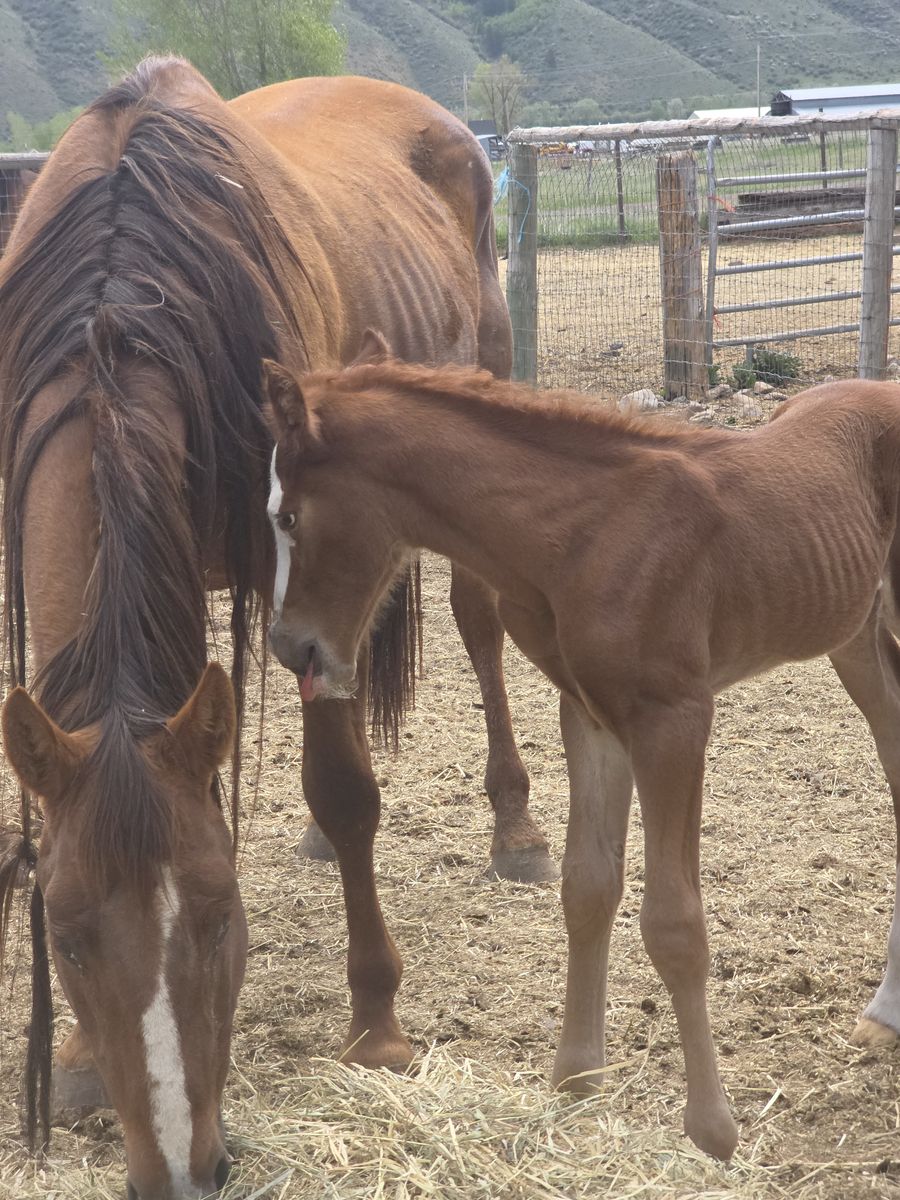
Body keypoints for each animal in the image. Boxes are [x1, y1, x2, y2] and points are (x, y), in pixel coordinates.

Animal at [0, 58, 551, 1198]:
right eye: (64, 936)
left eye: (220, 911)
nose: (179, 1169)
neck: (125, 303)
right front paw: (76, 1061)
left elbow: (346, 792)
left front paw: (377, 1024)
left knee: (478, 624)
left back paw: (516, 828)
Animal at [263, 347, 900, 1160]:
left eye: (286, 515)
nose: (289, 647)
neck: (586, 533)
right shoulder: (591, 717)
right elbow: (587, 887)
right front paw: (575, 1081)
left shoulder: (674, 717)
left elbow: (673, 921)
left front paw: (712, 1133)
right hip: (854, 637)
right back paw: (884, 1013)